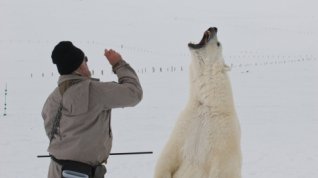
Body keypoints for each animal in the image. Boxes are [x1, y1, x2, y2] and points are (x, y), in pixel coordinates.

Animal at [154, 27, 241, 177]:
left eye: (218, 44)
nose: (214, 28)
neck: (207, 105)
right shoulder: (184, 125)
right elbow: (167, 156)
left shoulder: (225, 136)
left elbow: (223, 168)